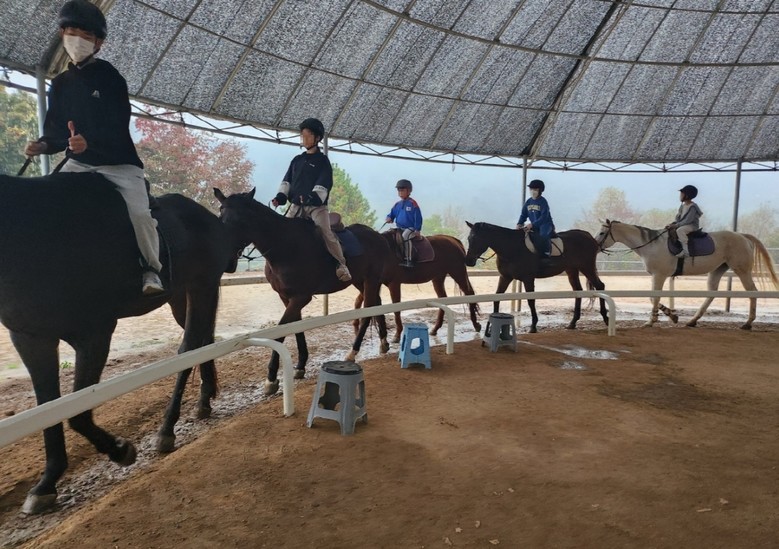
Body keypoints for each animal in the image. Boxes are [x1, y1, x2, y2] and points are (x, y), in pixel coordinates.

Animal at [0, 172, 233, 514]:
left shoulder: (94, 334)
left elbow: (77, 413)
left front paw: (121, 450)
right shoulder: (30, 338)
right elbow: (48, 406)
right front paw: (46, 483)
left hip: (202, 287)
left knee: (190, 346)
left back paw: (166, 430)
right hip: (182, 296)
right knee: (204, 341)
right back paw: (203, 401)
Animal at [213, 188, 389, 395]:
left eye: (241, 220)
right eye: (220, 216)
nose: (227, 261)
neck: (286, 246)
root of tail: (378, 236)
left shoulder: (300, 298)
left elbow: (282, 330)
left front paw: (271, 378)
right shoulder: (286, 297)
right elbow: (296, 327)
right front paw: (300, 366)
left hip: (370, 280)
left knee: (369, 310)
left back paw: (352, 352)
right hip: (360, 281)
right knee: (376, 305)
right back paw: (384, 342)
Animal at [353, 231, 482, 342]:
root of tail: (453, 240)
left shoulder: (393, 284)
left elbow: (396, 309)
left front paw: (397, 335)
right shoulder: (374, 283)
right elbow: (358, 301)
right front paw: (356, 326)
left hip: (458, 273)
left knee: (470, 294)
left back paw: (476, 324)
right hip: (438, 278)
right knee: (443, 299)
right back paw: (435, 329)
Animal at [463, 222, 609, 333]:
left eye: (476, 239)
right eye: (469, 239)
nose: (468, 261)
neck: (511, 248)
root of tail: (588, 236)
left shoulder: (528, 279)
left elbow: (531, 301)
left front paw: (533, 326)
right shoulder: (505, 277)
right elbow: (497, 298)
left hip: (587, 267)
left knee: (600, 286)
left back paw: (606, 318)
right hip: (572, 270)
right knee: (578, 291)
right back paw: (573, 323)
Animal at [595, 220, 779, 329]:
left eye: (602, 233)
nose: (595, 246)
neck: (650, 244)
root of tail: (742, 236)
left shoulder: (659, 275)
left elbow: (654, 297)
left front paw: (651, 321)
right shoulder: (657, 276)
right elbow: (653, 298)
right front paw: (672, 316)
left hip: (742, 270)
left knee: (752, 292)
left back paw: (748, 323)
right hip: (718, 269)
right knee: (711, 294)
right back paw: (692, 321)